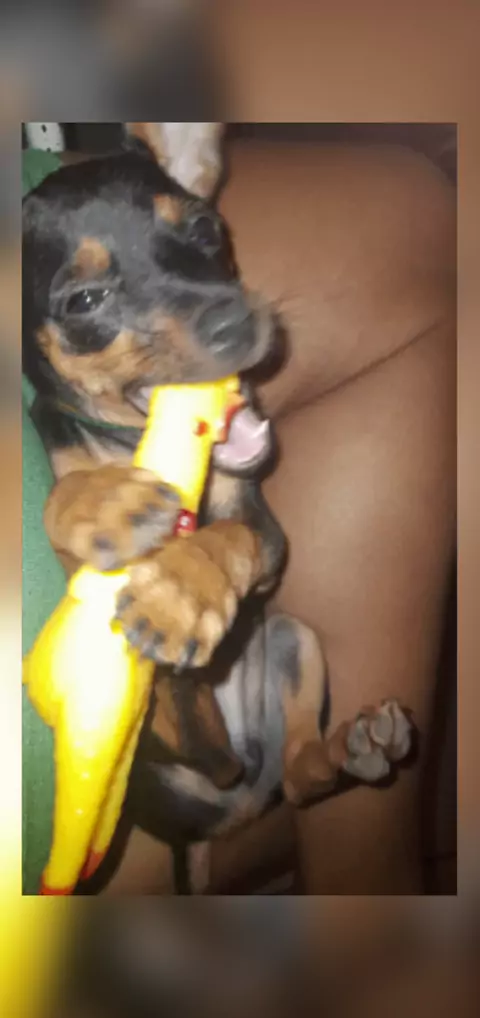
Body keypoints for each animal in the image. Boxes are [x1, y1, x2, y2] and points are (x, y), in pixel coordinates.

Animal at [22, 123, 413, 892]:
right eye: (84, 301)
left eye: (204, 229)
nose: (237, 322)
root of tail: (230, 815)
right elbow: (63, 490)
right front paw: (105, 507)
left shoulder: (266, 534)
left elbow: (229, 534)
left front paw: (182, 590)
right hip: (161, 761)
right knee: (228, 747)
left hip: (293, 637)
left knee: (301, 777)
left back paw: (355, 746)